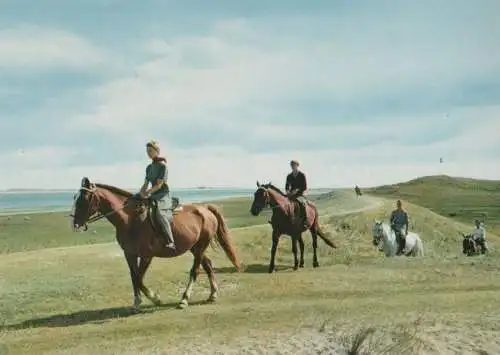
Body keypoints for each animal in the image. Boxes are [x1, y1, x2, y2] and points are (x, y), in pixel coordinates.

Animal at [71, 178, 244, 312]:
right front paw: (137, 303)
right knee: (207, 264)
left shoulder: (147, 256)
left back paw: (184, 299)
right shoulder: (129, 254)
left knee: (195, 271)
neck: (130, 219)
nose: (75, 223)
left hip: (200, 246)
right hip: (195, 248)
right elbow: (134, 277)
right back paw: (212, 295)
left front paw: (155, 298)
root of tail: (205, 208)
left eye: (83, 199)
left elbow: (139, 278)